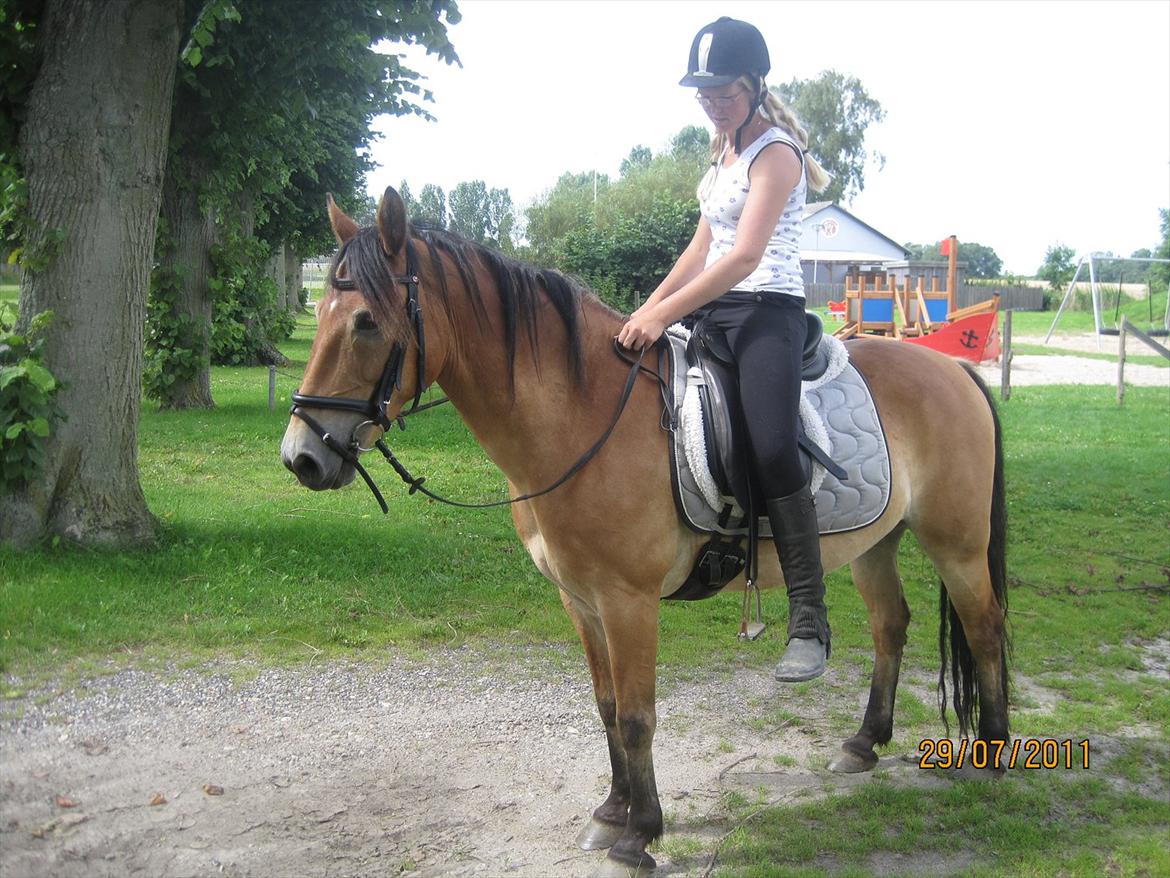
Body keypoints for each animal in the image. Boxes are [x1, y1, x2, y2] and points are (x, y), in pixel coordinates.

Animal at [281, 187, 1010, 876]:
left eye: (366, 322)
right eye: (320, 313)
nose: (301, 456)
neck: (581, 416)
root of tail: (954, 372)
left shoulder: (627, 601)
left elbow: (637, 715)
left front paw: (640, 834)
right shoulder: (579, 600)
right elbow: (607, 707)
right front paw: (612, 811)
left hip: (956, 545)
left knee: (985, 628)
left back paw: (994, 754)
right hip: (874, 543)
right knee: (891, 625)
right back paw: (863, 744)